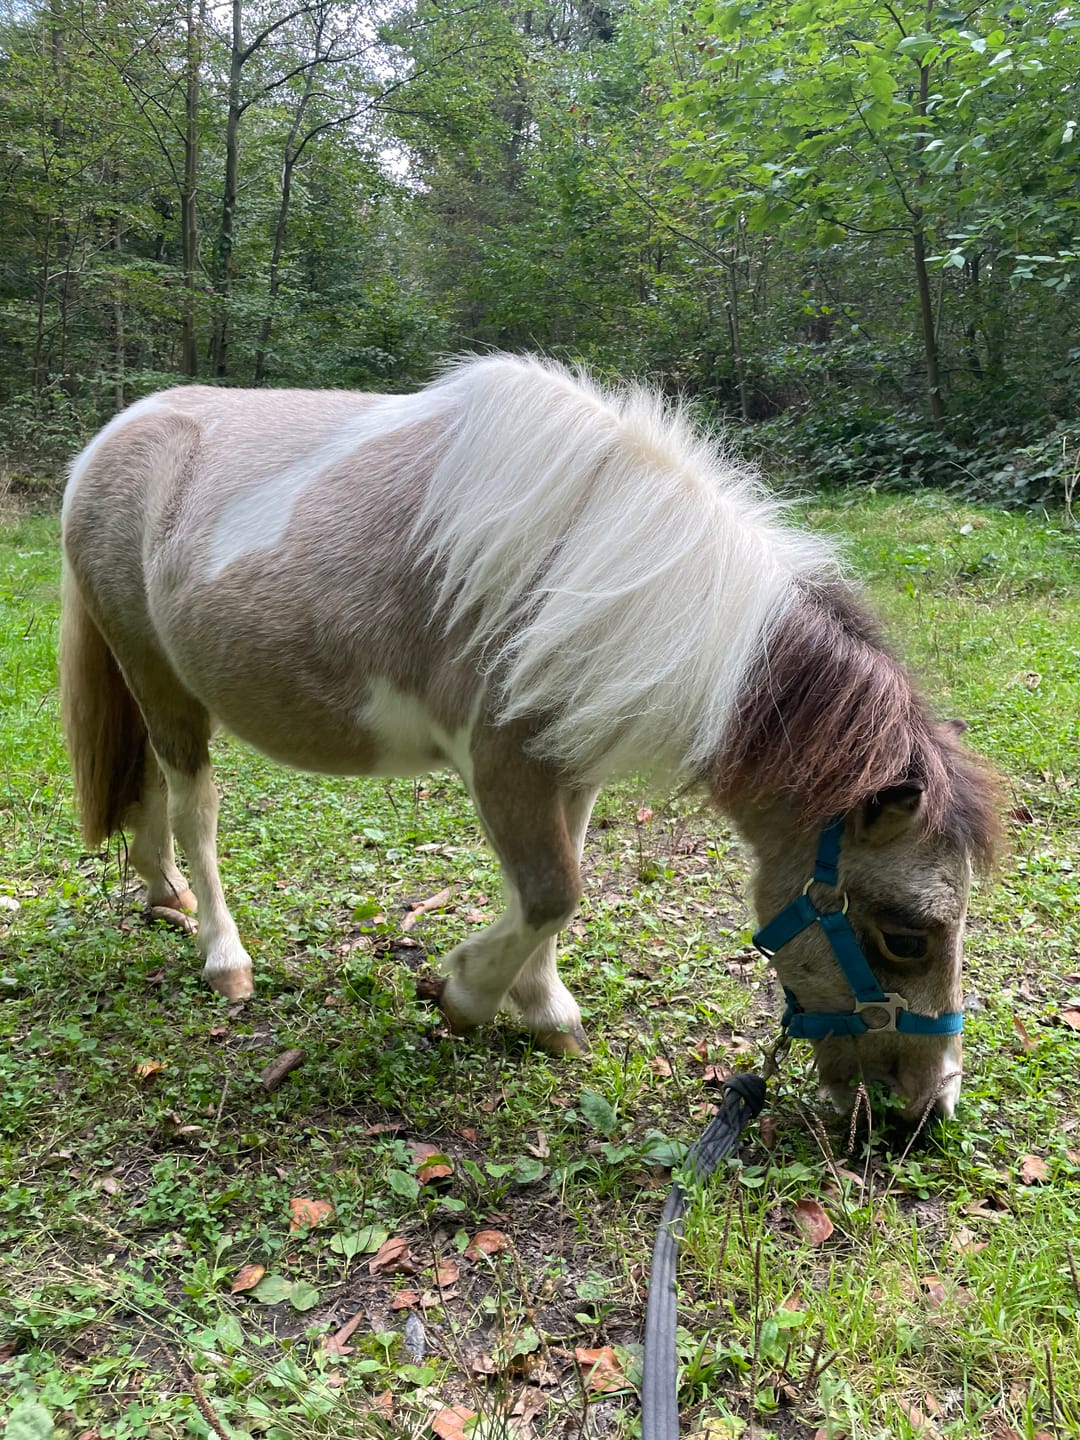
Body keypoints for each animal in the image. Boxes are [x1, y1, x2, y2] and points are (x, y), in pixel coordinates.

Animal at [60, 353, 999, 1122]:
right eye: (906, 937)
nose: (929, 1109)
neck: (599, 572)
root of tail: (105, 444)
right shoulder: (502, 766)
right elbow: (553, 892)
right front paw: (466, 994)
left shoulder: (567, 766)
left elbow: (556, 890)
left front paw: (545, 1012)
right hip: (159, 677)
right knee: (194, 805)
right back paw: (223, 955)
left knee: (152, 791)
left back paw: (163, 894)